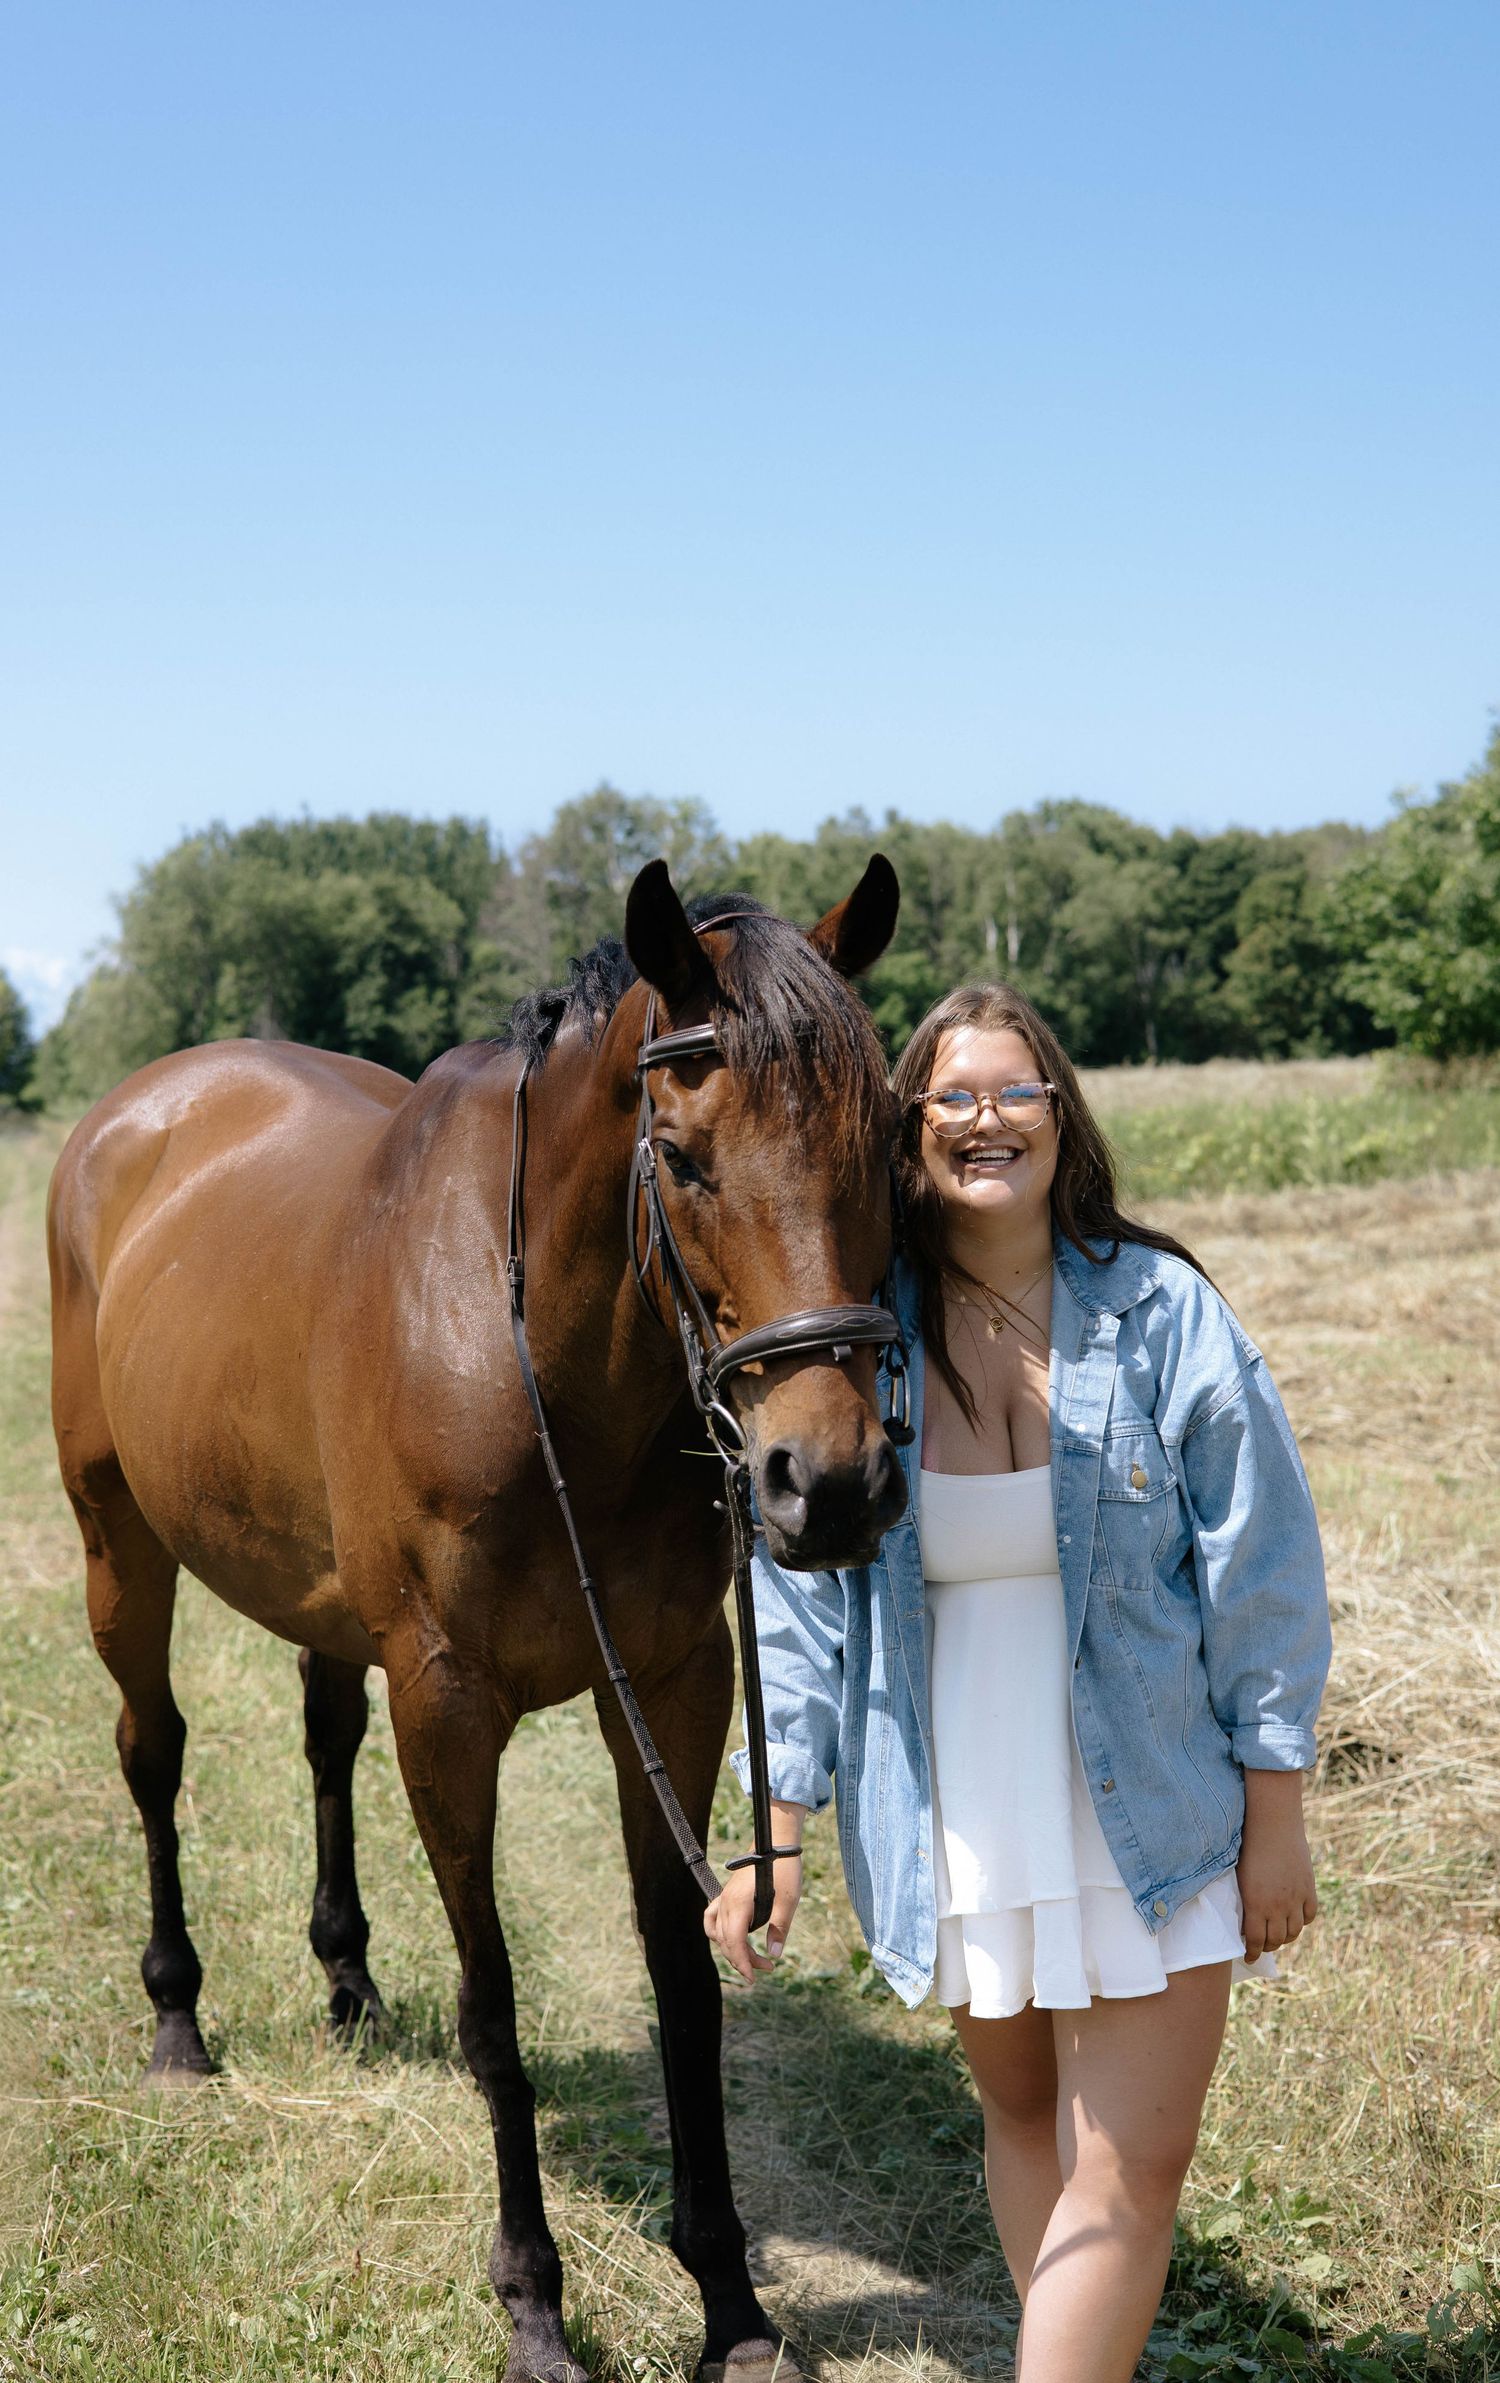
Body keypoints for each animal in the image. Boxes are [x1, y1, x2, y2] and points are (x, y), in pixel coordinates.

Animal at [47, 856, 909, 2383]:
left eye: (885, 1145)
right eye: (683, 1155)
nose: (833, 1484)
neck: (552, 1366)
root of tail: (134, 1112)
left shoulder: (673, 1683)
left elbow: (685, 1982)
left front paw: (731, 2300)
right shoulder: (448, 1703)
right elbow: (494, 2002)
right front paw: (534, 2307)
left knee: (324, 1737)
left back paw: (346, 1981)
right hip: (118, 1545)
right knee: (153, 1753)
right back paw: (177, 2017)